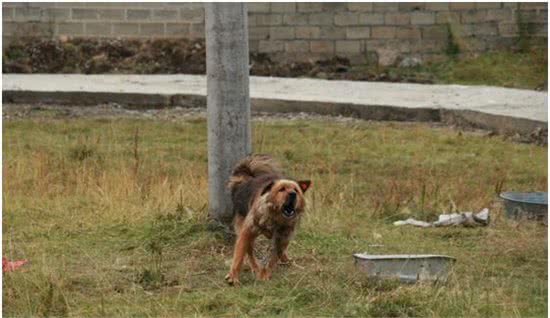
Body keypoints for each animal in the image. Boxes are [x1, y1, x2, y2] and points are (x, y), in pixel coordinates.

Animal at [224, 154, 310, 286]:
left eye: (296, 190)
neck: (275, 218)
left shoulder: (282, 237)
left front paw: (265, 274)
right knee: (249, 252)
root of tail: (247, 178)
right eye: (281, 189)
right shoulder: (247, 232)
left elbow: (273, 259)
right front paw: (233, 276)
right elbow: (239, 256)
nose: (292, 194)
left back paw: (284, 258)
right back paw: (255, 266)